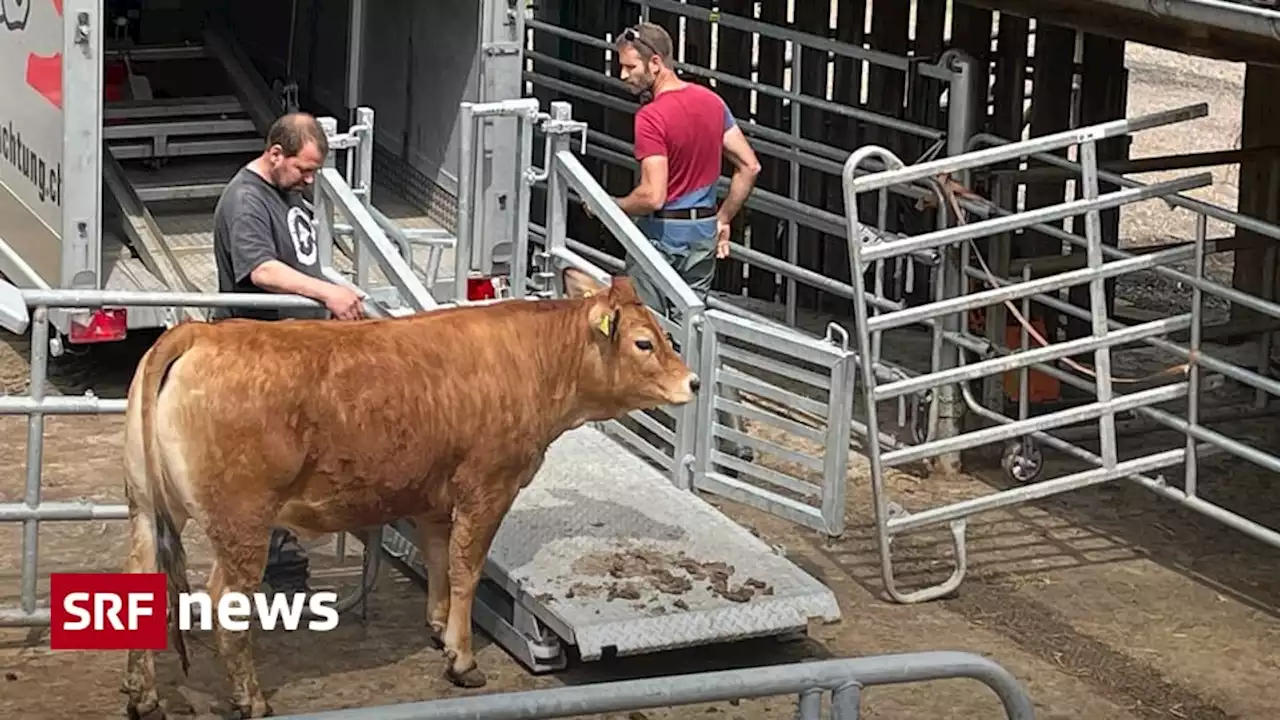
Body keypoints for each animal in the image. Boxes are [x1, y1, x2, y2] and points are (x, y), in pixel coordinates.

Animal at [117, 269, 701, 717]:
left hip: (146, 508)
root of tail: (197, 335)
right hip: (242, 521)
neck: (532, 360)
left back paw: (143, 695)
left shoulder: (434, 496)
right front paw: (462, 660)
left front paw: (439, 629)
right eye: (644, 342)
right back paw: (250, 699)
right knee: (225, 601)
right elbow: (467, 569)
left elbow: (440, 559)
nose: (693, 383)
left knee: (143, 582)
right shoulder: (488, 487)